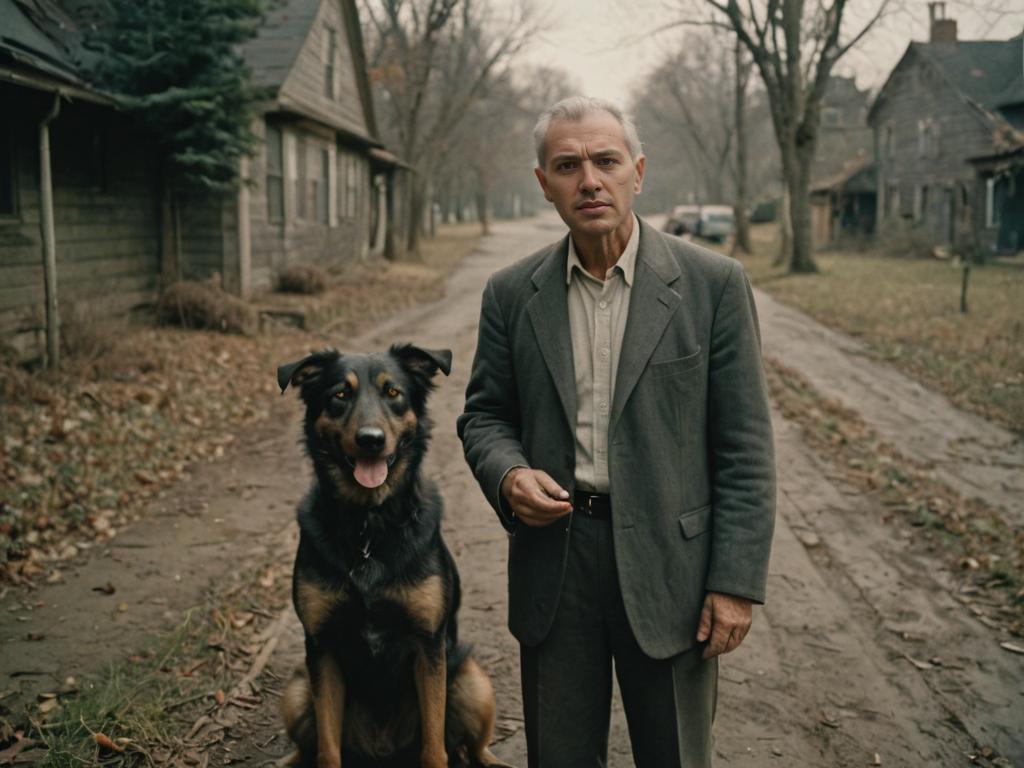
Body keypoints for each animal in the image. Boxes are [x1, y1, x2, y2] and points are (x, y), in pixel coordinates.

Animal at [276, 348, 512, 768]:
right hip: (298, 689)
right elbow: (327, 751)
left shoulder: (427, 646)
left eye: (393, 393)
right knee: (307, 747)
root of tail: (383, 750)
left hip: (471, 680)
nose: (371, 441)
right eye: (339, 395)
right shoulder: (322, 649)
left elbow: (435, 748)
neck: (369, 527)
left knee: (474, 747)